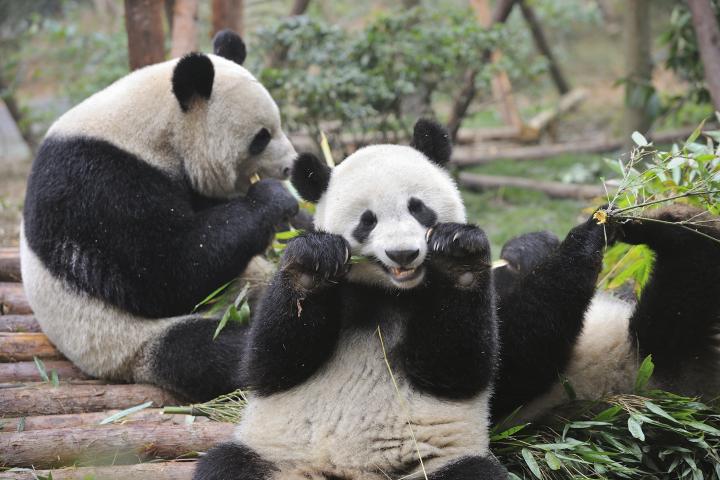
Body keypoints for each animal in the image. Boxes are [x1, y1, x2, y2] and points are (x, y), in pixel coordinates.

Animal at [20, 30, 299, 402]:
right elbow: (166, 271)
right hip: (127, 342)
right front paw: (273, 200)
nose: (290, 165)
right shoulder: (96, 182)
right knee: (213, 350)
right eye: (261, 138)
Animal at [194, 119, 510, 479]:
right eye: (367, 221)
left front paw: (458, 253)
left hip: (433, 463)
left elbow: (457, 366)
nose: (403, 253)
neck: (387, 291)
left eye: (418, 208)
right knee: (225, 463)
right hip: (272, 454)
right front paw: (314, 261)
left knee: (473, 470)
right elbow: (270, 363)